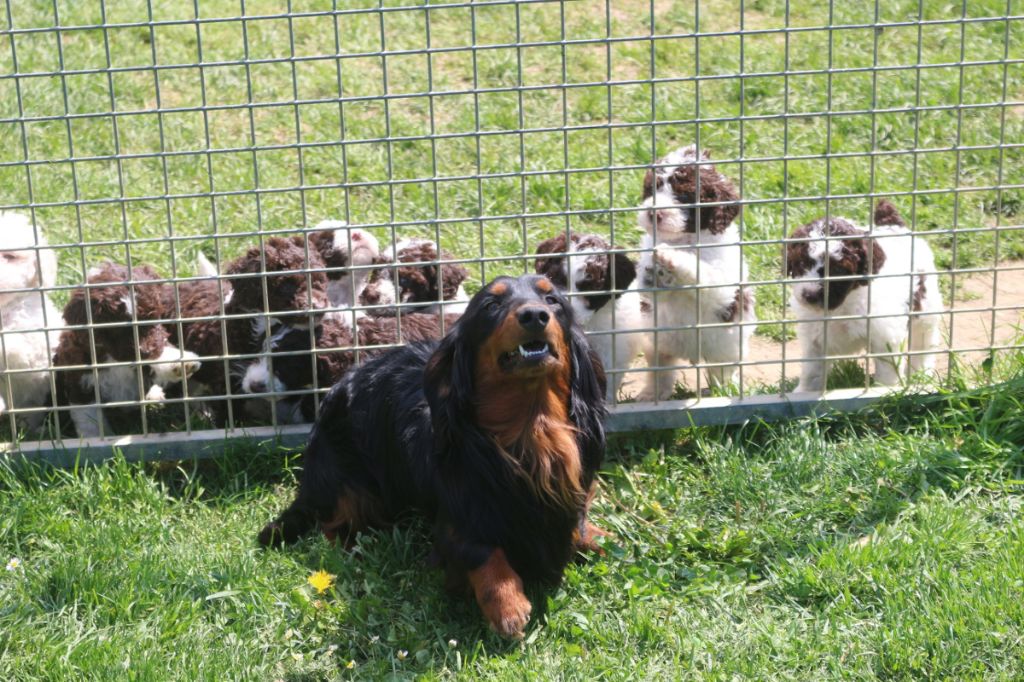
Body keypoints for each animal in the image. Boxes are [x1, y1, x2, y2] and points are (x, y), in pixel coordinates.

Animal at [54, 260, 201, 436]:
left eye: (153, 318)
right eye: (118, 328)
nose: (145, 352)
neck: (113, 358)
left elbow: (160, 353)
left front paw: (181, 363)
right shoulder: (80, 381)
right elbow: (90, 418)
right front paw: (97, 437)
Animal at [258, 274, 606, 634]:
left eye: (553, 300)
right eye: (491, 305)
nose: (535, 315)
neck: (531, 429)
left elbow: (579, 520)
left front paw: (596, 536)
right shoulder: (458, 508)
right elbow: (477, 547)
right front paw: (506, 603)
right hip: (345, 481)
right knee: (333, 522)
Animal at [634, 146, 757, 395]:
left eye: (684, 197)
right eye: (652, 189)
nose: (654, 214)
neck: (684, 239)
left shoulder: (721, 282)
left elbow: (700, 272)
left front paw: (672, 256)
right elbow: (650, 288)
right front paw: (654, 274)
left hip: (727, 346)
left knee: (721, 372)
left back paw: (723, 391)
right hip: (656, 340)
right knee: (660, 370)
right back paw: (653, 393)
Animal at [782, 199, 942, 391]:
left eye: (838, 270)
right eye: (801, 264)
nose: (810, 295)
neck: (842, 307)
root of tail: (894, 226)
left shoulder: (885, 335)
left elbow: (888, 370)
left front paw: (886, 390)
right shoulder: (814, 337)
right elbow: (812, 370)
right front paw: (804, 391)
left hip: (926, 308)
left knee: (923, 343)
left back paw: (922, 376)